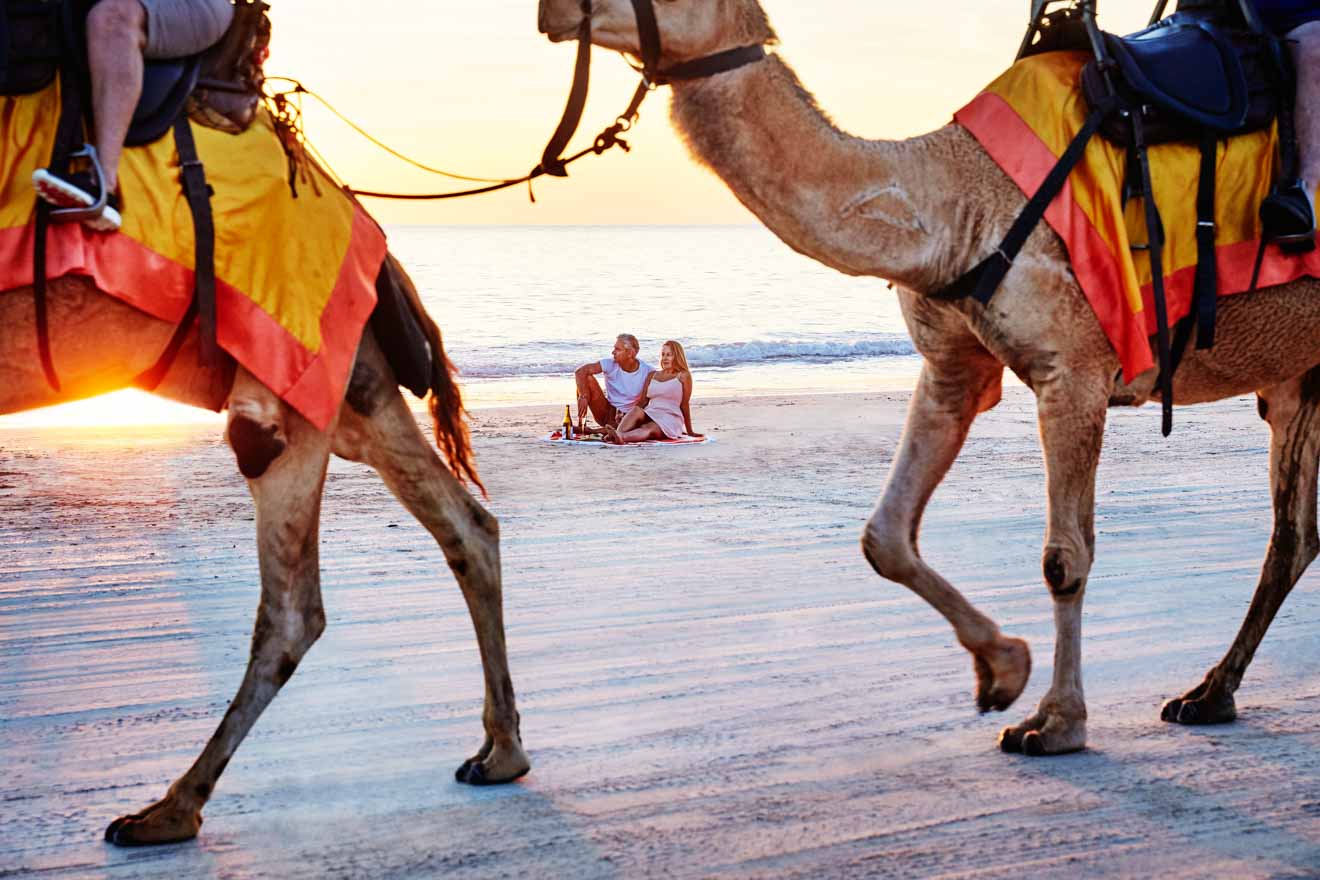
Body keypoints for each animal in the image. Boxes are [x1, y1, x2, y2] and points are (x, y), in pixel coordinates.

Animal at [6, 255, 530, 844]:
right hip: (356, 393)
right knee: (467, 527)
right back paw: (500, 754)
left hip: (304, 394)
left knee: (293, 610)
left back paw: (170, 810)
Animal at [541, 0, 1320, 759]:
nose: (553, 11)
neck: (953, 205)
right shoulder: (951, 367)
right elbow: (884, 537)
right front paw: (1003, 670)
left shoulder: (1075, 369)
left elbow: (1064, 558)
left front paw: (1056, 724)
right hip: (1298, 380)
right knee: (1292, 536)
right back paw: (1209, 694)